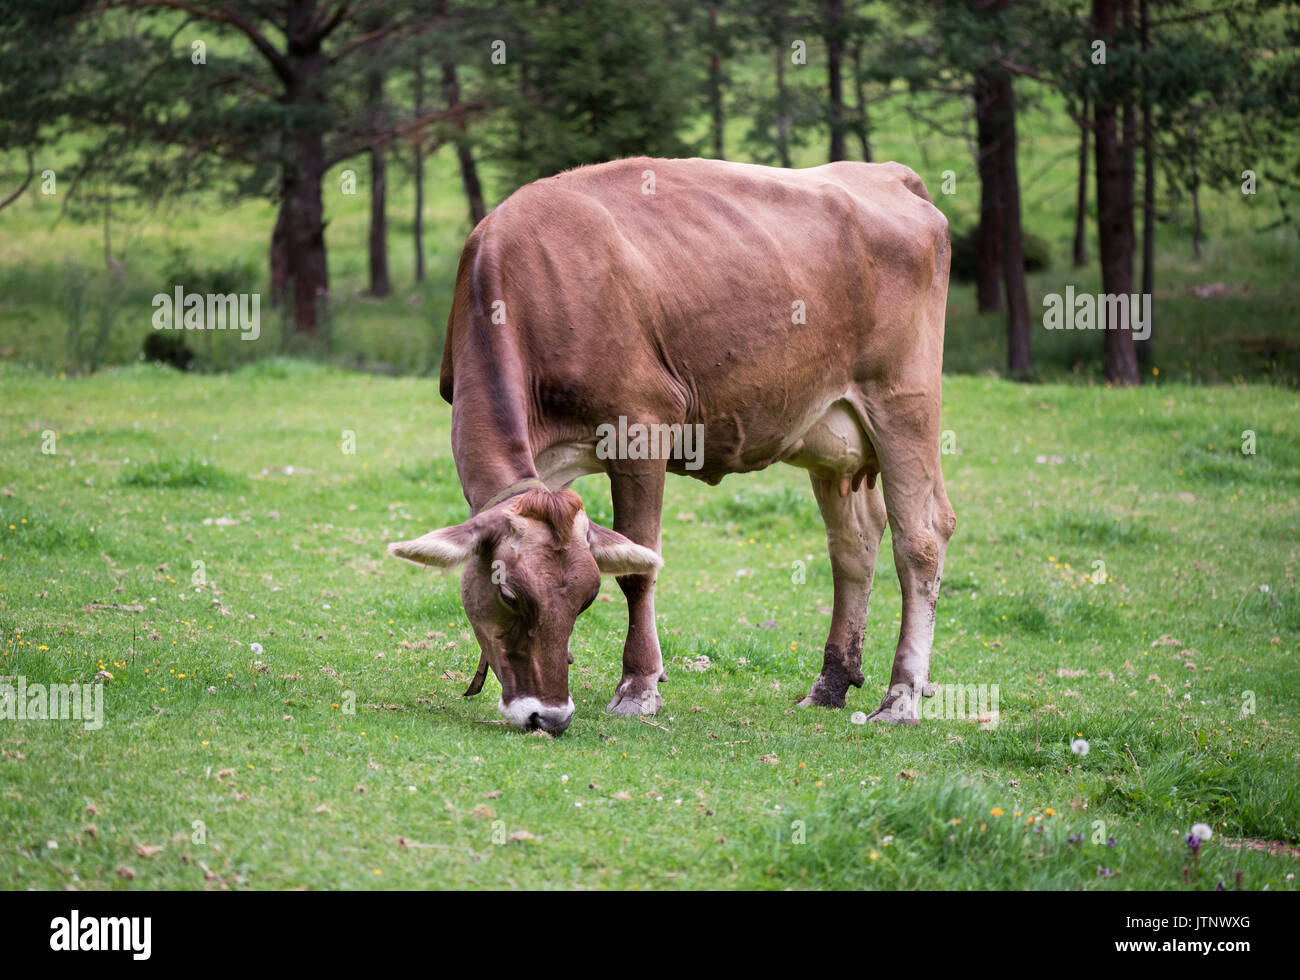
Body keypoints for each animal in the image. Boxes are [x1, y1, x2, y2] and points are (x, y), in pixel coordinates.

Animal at [384, 154, 956, 733]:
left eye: (587, 599)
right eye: (507, 593)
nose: (550, 715)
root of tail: (887, 173)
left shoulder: (642, 426)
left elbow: (640, 569)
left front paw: (638, 687)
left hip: (904, 401)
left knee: (922, 539)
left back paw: (901, 697)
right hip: (831, 434)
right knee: (854, 544)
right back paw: (830, 684)